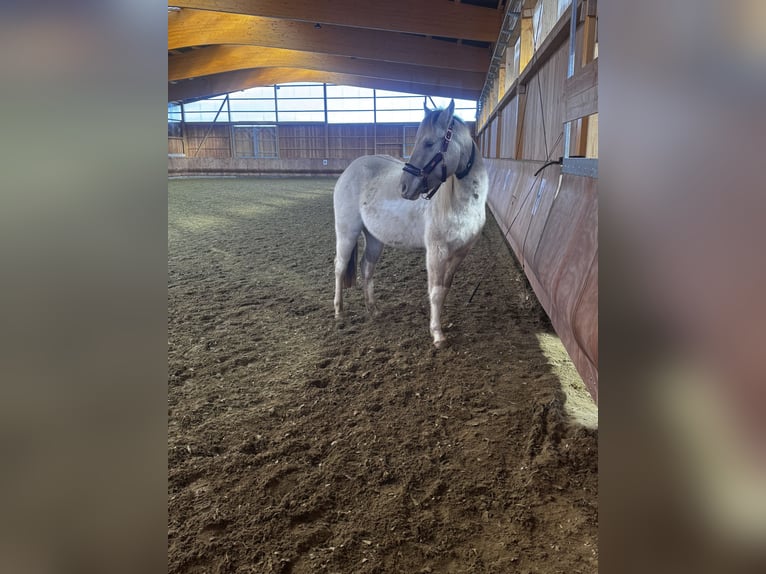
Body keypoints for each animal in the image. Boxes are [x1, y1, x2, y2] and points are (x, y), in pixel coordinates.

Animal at [332, 99, 489, 347]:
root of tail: (350, 169)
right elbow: (435, 292)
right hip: (347, 232)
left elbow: (445, 289)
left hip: (374, 238)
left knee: (367, 267)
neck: (461, 203)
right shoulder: (436, 252)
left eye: (429, 142)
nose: (404, 187)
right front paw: (437, 335)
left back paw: (373, 310)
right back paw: (339, 312)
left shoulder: (460, 253)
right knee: (339, 267)